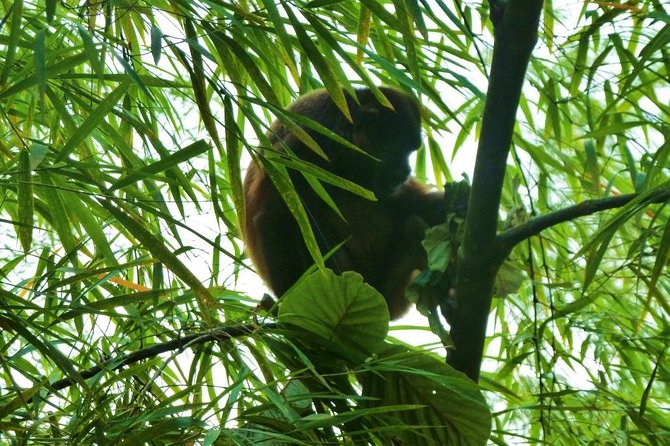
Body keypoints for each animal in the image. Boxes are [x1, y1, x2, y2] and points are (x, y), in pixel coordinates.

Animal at [244, 87, 448, 318]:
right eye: (400, 150)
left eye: (411, 152)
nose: (407, 171)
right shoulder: (303, 147)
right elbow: (273, 218)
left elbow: (407, 204)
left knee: (412, 223)